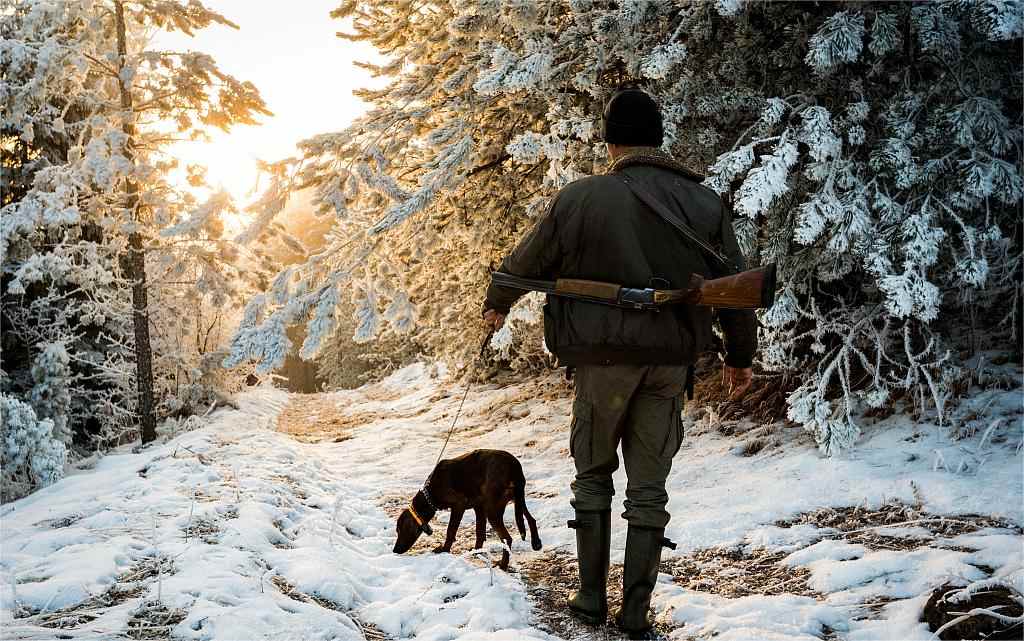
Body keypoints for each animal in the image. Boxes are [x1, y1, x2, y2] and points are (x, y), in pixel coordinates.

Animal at [393, 446, 544, 565]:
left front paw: (444, 550)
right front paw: (477, 551)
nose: (394, 550)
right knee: (531, 519)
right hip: (516, 499)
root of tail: (514, 466)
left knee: (507, 538)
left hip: (493, 510)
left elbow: (451, 531)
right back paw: (536, 543)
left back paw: (502, 565)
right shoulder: (479, 508)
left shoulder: (459, 505)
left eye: (399, 530)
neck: (430, 493)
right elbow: (480, 532)